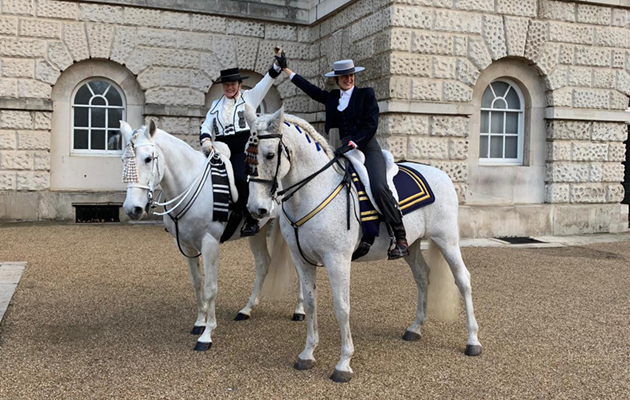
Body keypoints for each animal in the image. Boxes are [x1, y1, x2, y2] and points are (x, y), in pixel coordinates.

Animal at [119, 120, 302, 351]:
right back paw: (247, 309)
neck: (189, 184)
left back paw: (300, 311)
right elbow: (197, 283)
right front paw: (199, 322)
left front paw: (207, 334)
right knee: (263, 263)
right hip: (257, 233)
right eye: (124, 160)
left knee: (301, 270)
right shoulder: (186, 245)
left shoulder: (210, 244)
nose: (132, 208)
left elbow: (210, 288)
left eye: (148, 159)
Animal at [243, 107, 481, 383]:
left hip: (447, 240)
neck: (313, 192)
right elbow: (311, 304)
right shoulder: (302, 261)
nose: (256, 209)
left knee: (463, 280)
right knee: (423, 276)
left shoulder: (337, 260)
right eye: (245, 153)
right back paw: (415, 328)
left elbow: (342, 307)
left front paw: (344, 363)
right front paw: (307, 354)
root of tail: (441, 173)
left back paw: (473, 340)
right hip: (411, 245)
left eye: (270, 154)